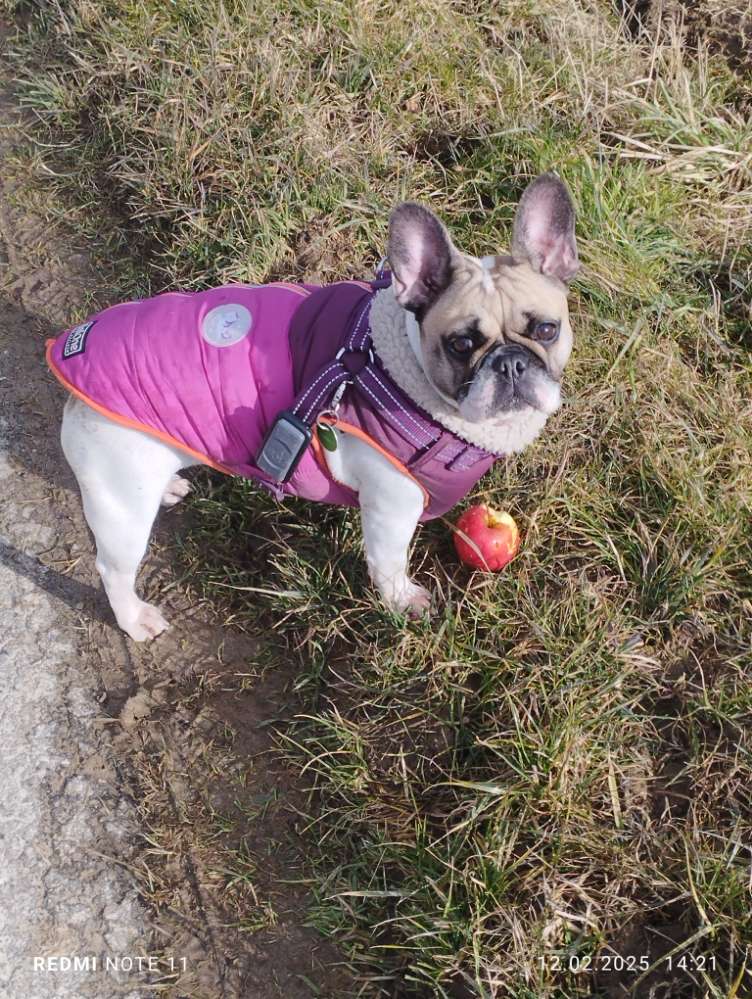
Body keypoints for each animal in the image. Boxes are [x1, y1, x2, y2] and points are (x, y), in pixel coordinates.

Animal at [49, 173, 578, 641]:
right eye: (462, 344)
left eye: (546, 330)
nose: (510, 364)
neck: (401, 370)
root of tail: (73, 362)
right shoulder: (392, 507)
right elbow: (389, 565)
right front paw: (404, 603)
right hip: (122, 510)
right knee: (112, 568)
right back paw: (134, 619)